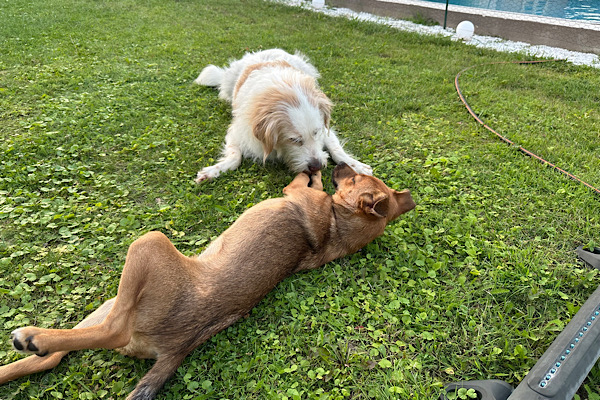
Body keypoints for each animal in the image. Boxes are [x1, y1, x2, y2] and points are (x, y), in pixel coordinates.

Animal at [0, 163, 412, 400]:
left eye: (354, 178)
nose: (337, 161)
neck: (338, 229)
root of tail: (179, 348)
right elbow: (312, 182)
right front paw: (316, 170)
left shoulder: (295, 193)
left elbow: (302, 183)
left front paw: (312, 173)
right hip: (112, 299)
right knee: (53, 359)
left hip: (147, 246)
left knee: (111, 332)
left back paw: (32, 337)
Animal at [193, 48, 370, 183]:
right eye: (294, 140)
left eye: (316, 133)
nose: (317, 166)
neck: (285, 90)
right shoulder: (237, 132)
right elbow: (234, 157)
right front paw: (214, 170)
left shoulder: (325, 128)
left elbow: (336, 149)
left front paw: (355, 165)